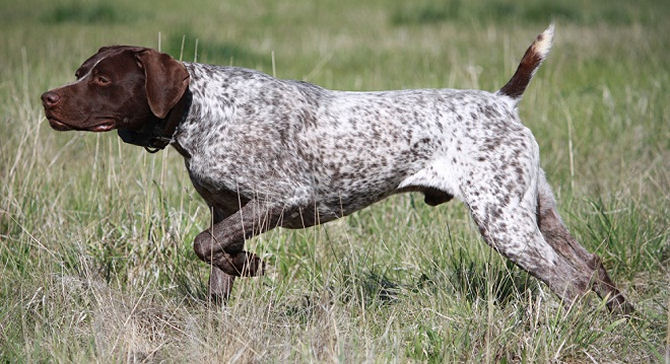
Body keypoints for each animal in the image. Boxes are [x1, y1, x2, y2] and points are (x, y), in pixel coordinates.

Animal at [43, 24, 636, 312]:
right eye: (80, 71)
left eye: (103, 80)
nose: (48, 100)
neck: (201, 111)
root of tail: (501, 101)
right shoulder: (226, 211)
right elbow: (215, 266)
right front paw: (236, 280)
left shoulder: (281, 198)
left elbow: (203, 246)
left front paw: (251, 265)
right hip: (535, 212)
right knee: (593, 268)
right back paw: (621, 319)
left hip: (504, 222)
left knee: (570, 281)